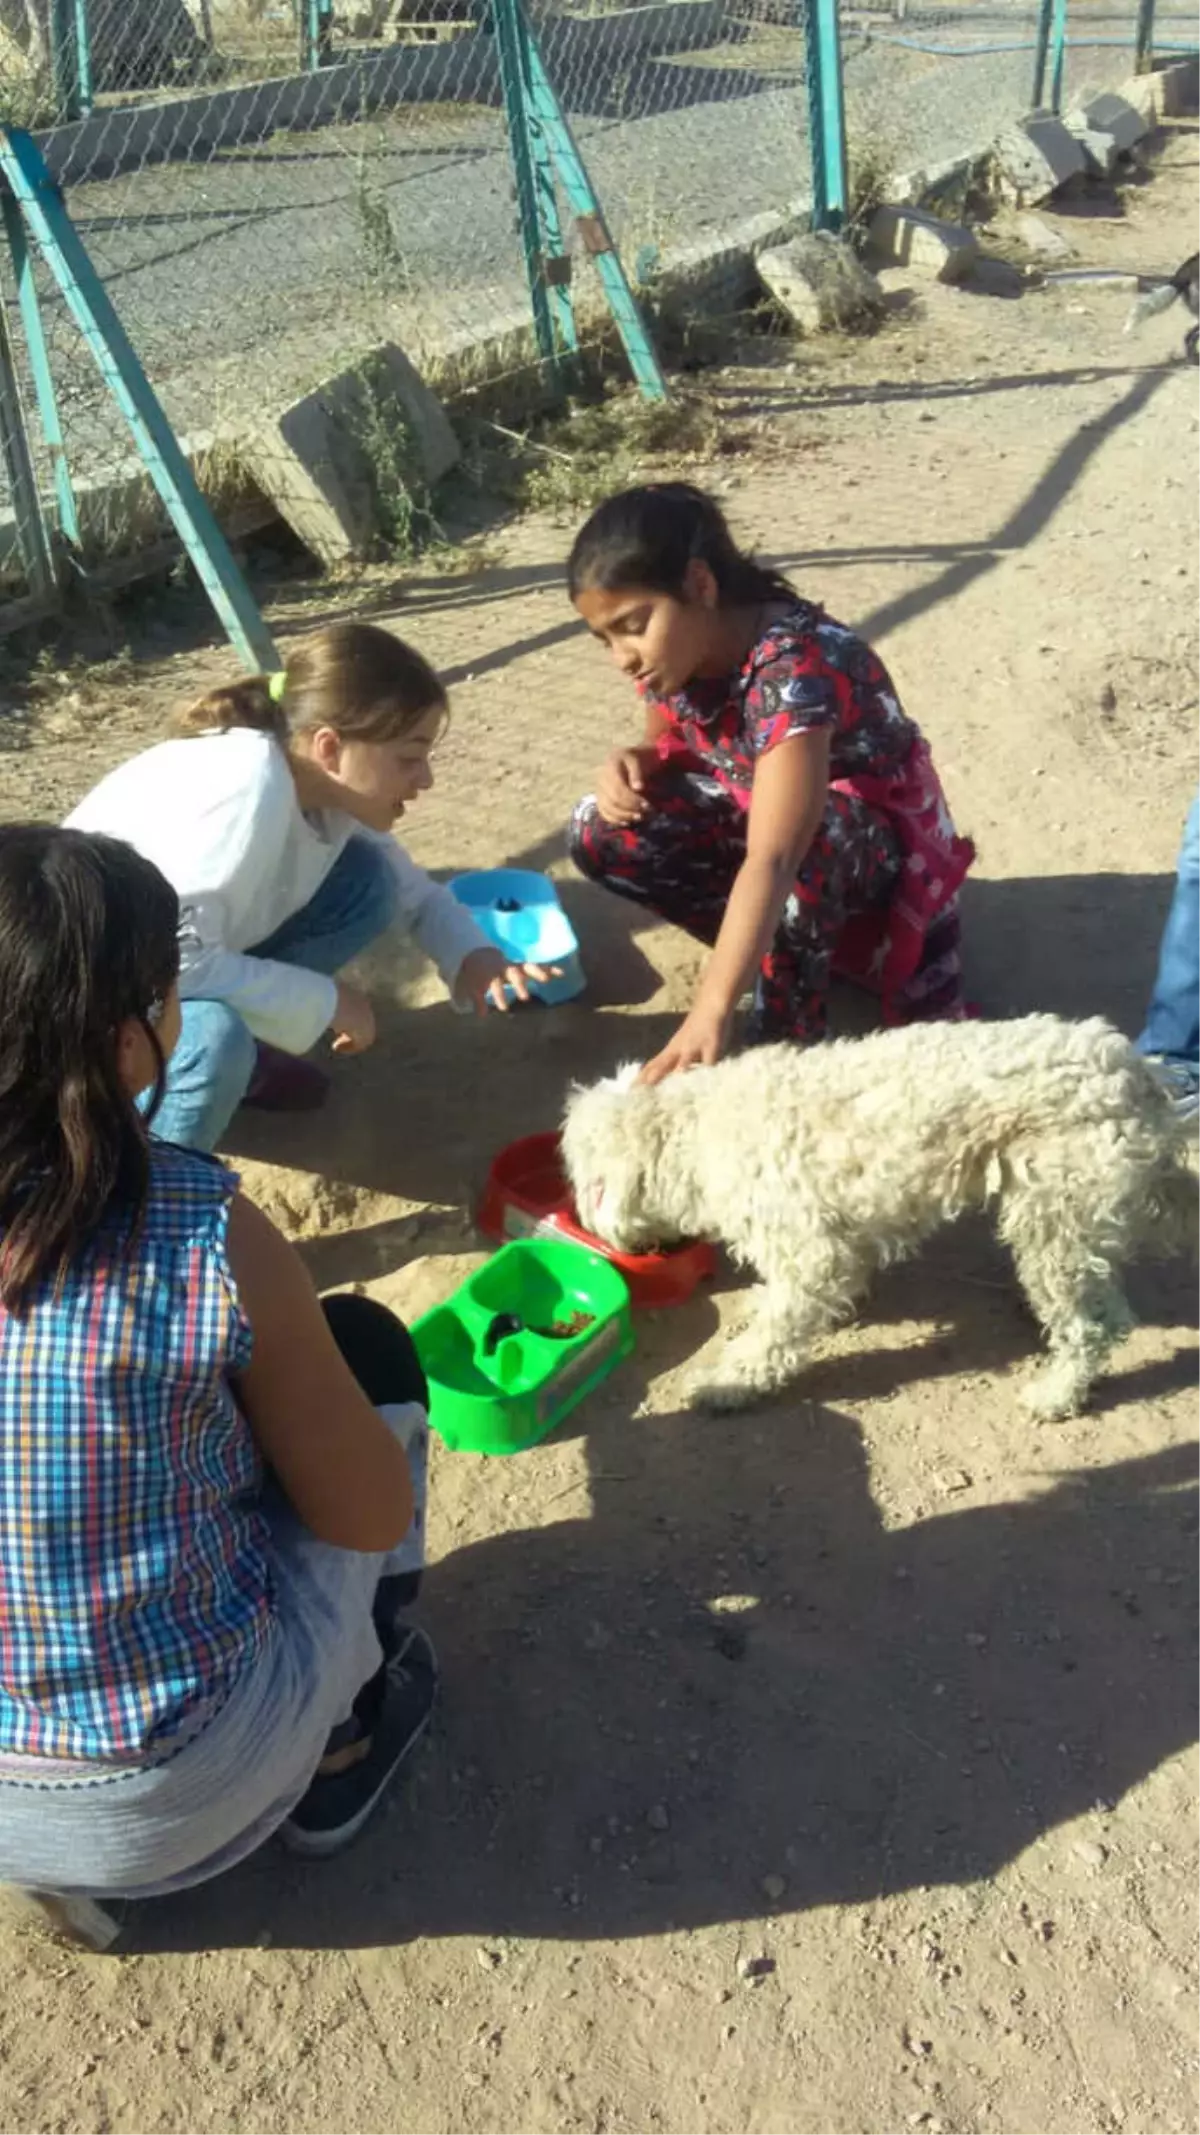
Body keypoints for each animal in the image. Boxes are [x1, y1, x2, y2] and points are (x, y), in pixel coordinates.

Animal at [559, 1011, 1195, 1417]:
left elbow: (777, 1332)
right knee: (1112, 1313)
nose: (593, 1231)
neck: (696, 1131)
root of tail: (1141, 1079)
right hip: (1071, 1224)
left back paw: (1056, 1395)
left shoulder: (813, 1250)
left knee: (1092, 1326)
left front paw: (728, 1383)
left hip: (1054, 1218)